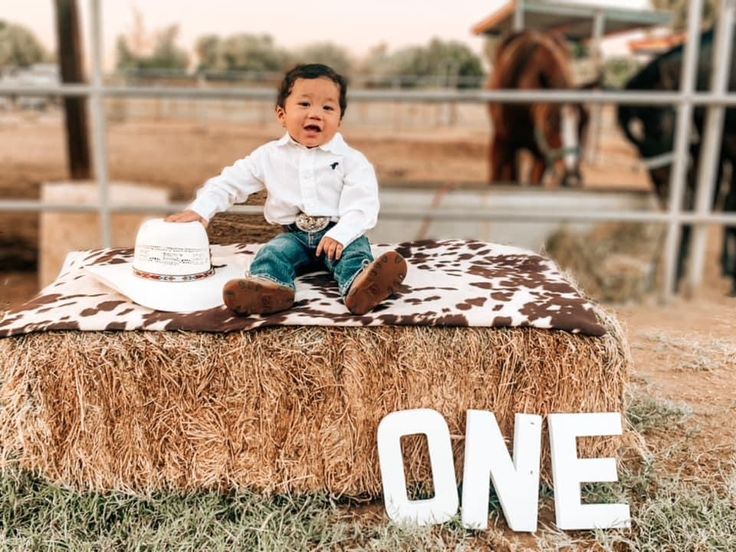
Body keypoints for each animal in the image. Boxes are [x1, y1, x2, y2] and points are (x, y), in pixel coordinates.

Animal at [616, 29, 736, 294]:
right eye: (634, 136)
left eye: (659, 128)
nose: (659, 182)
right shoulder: (711, 147)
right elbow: (697, 207)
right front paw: (676, 276)